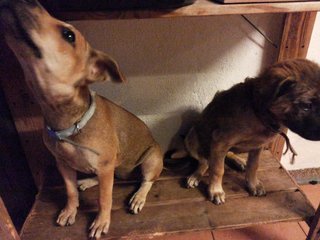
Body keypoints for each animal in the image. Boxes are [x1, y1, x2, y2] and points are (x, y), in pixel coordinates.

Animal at [0, 0, 162, 238]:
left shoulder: (104, 167)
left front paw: (101, 222)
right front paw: (70, 210)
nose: (27, 1)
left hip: (150, 160)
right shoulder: (63, 165)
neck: (68, 122)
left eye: (68, 35)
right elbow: (70, 191)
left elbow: (104, 199)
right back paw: (87, 181)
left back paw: (138, 197)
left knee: (146, 181)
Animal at [174, 59, 320, 204]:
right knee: (205, 161)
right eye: (307, 105)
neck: (258, 113)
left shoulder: (258, 146)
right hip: (192, 138)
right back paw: (196, 175)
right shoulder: (220, 140)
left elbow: (253, 166)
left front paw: (253, 184)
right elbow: (217, 169)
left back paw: (239, 161)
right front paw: (216, 190)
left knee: (226, 154)